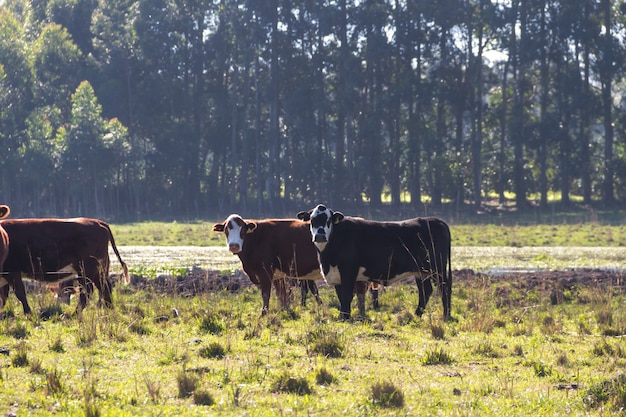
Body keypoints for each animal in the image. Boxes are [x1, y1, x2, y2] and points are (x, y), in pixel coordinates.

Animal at [0, 216, 129, 314]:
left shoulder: (12, 271)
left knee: (89, 290)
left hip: (87, 269)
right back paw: (109, 311)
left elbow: (19, 293)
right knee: (104, 288)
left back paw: (76, 313)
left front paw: (28, 314)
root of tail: (97, 222)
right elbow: (3, 296)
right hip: (98, 270)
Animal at [211, 214, 370, 316]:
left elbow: (266, 294)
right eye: (226, 229)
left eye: (243, 230)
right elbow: (281, 295)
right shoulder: (278, 275)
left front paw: (264, 314)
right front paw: (284, 311)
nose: (234, 245)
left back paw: (360, 314)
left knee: (360, 291)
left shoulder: (265, 272)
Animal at [294, 204, 450, 318]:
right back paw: (417, 314)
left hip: (437, 269)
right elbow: (341, 297)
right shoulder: (336, 274)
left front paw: (345, 317)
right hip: (421, 271)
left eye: (328, 220)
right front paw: (342, 316)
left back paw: (446, 315)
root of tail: (437, 221)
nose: (320, 236)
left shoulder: (348, 272)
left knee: (444, 288)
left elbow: (346, 296)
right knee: (426, 291)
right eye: (312, 220)